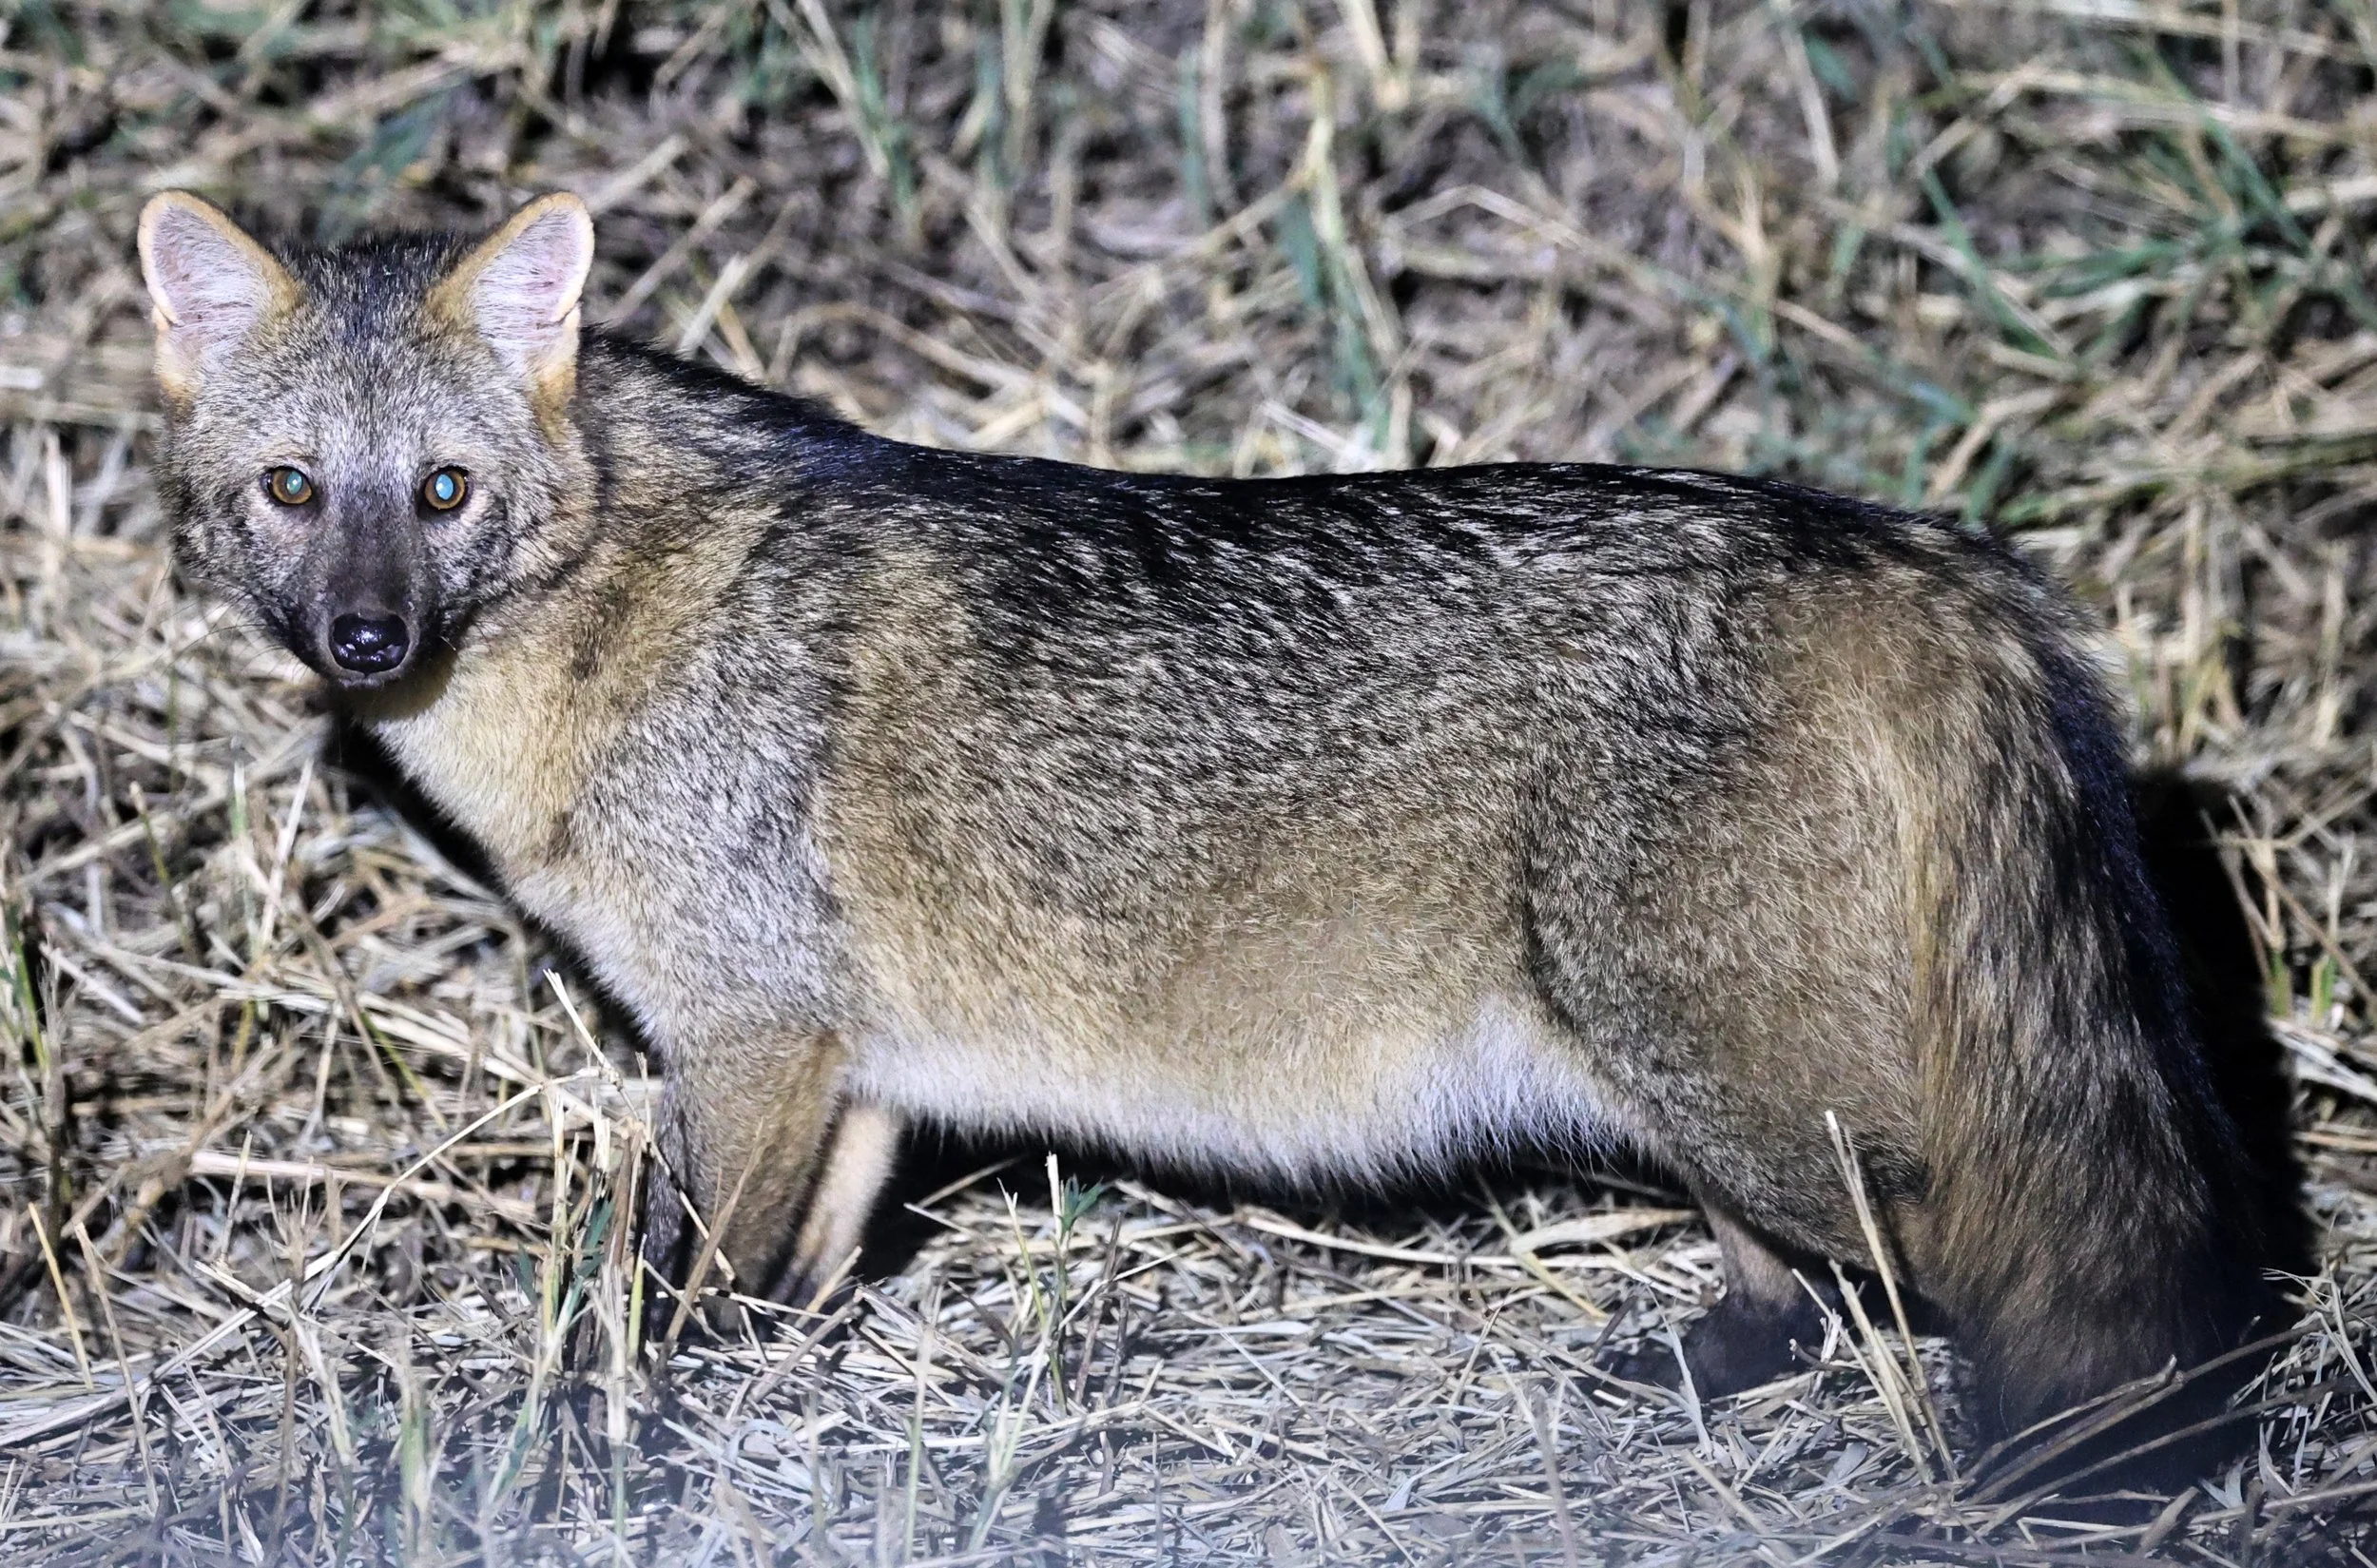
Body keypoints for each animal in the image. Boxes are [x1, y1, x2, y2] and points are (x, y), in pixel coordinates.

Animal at [139, 188, 2278, 1478]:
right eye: (293, 490)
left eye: (440, 491)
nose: (362, 639)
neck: (610, 627)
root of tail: (1900, 544)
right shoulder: (847, 1073)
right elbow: (792, 1273)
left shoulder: (745, 1042)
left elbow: (661, 1288)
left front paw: (601, 1428)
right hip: (1701, 1092)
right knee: (1799, 1280)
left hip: (1763, 1096)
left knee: (1997, 1271)